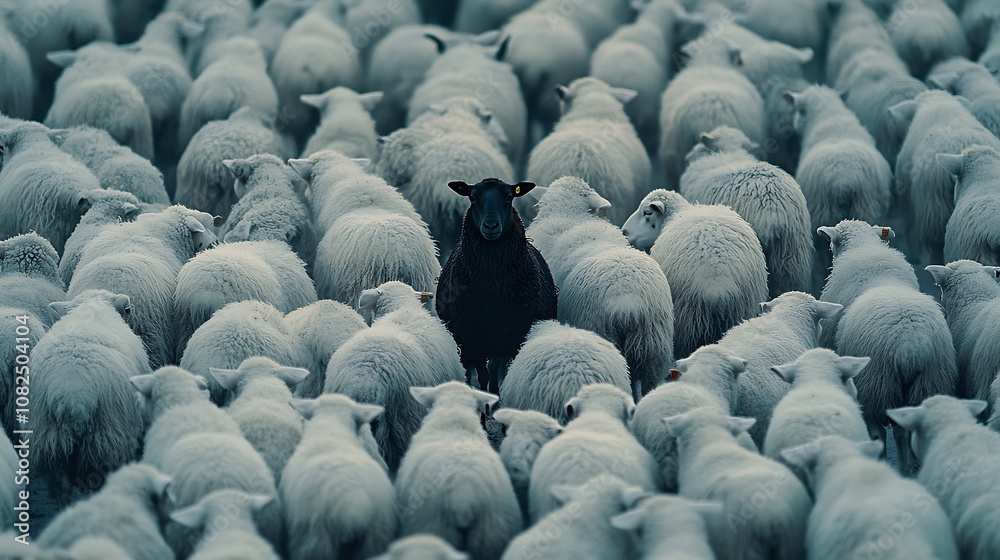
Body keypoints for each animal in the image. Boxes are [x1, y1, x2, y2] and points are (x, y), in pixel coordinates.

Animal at [30, 290, 147, 500]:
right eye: (127, 310)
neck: (92, 308)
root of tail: (73, 398)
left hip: (51, 443)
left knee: (63, 490)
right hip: (104, 443)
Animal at [436, 178, 558, 393]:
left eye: (509, 197)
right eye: (472, 197)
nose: (491, 225)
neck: (493, 284)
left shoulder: (508, 337)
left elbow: (494, 373)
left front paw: (494, 394)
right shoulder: (474, 340)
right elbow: (483, 375)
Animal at [818, 220, 959, 473]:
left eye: (833, 243)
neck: (865, 248)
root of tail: (909, 348)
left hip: (876, 384)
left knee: (887, 432)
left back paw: (895, 465)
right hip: (929, 382)